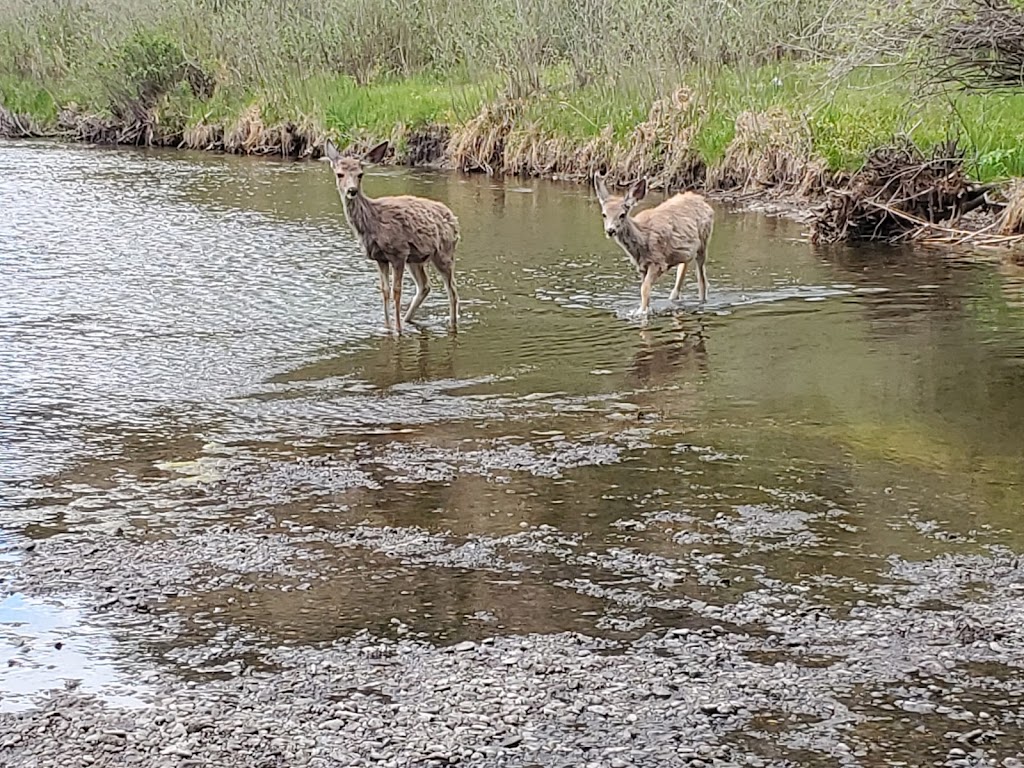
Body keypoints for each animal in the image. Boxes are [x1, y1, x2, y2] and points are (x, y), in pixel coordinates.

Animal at [325, 140, 458, 331]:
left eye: (360, 174)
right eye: (339, 174)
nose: (352, 190)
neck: (373, 222)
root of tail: (453, 217)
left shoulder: (398, 253)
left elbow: (397, 291)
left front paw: (398, 330)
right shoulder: (380, 258)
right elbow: (385, 291)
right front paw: (387, 326)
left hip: (444, 252)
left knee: (452, 289)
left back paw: (451, 323)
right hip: (416, 258)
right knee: (424, 286)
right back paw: (408, 319)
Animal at [593, 173, 712, 317]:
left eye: (622, 214)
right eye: (604, 214)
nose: (610, 230)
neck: (642, 239)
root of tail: (703, 201)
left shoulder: (658, 261)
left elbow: (644, 289)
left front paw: (641, 312)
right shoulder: (642, 266)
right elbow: (645, 289)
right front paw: (643, 309)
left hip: (704, 241)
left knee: (702, 279)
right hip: (687, 249)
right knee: (683, 268)